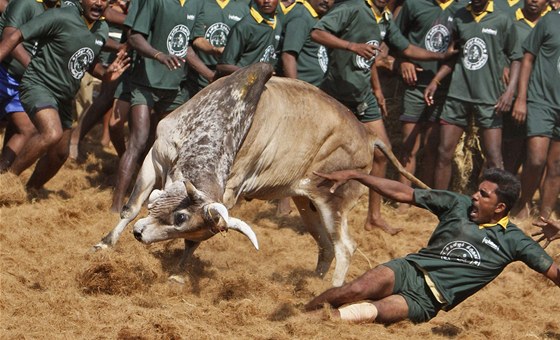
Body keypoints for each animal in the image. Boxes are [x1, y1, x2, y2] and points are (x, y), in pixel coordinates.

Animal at [94, 62, 424, 286]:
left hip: (334, 202)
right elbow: (131, 207)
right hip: (307, 203)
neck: (226, 118)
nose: (141, 235)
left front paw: (178, 274)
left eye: (183, 221)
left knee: (345, 247)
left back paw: (328, 296)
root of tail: (368, 136)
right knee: (326, 245)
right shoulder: (156, 154)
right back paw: (312, 283)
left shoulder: (229, 195)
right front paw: (105, 243)